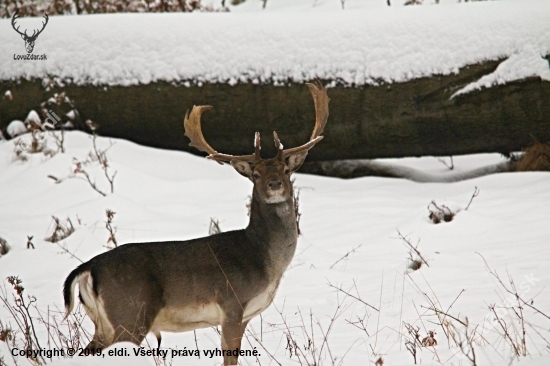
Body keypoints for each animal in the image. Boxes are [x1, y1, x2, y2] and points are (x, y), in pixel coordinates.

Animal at [64, 80, 332, 366]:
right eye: (256, 174)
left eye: (286, 170)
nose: (274, 185)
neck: (264, 261)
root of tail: (88, 268)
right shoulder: (232, 303)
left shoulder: (245, 315)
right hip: (130, 312)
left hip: (104, 323)